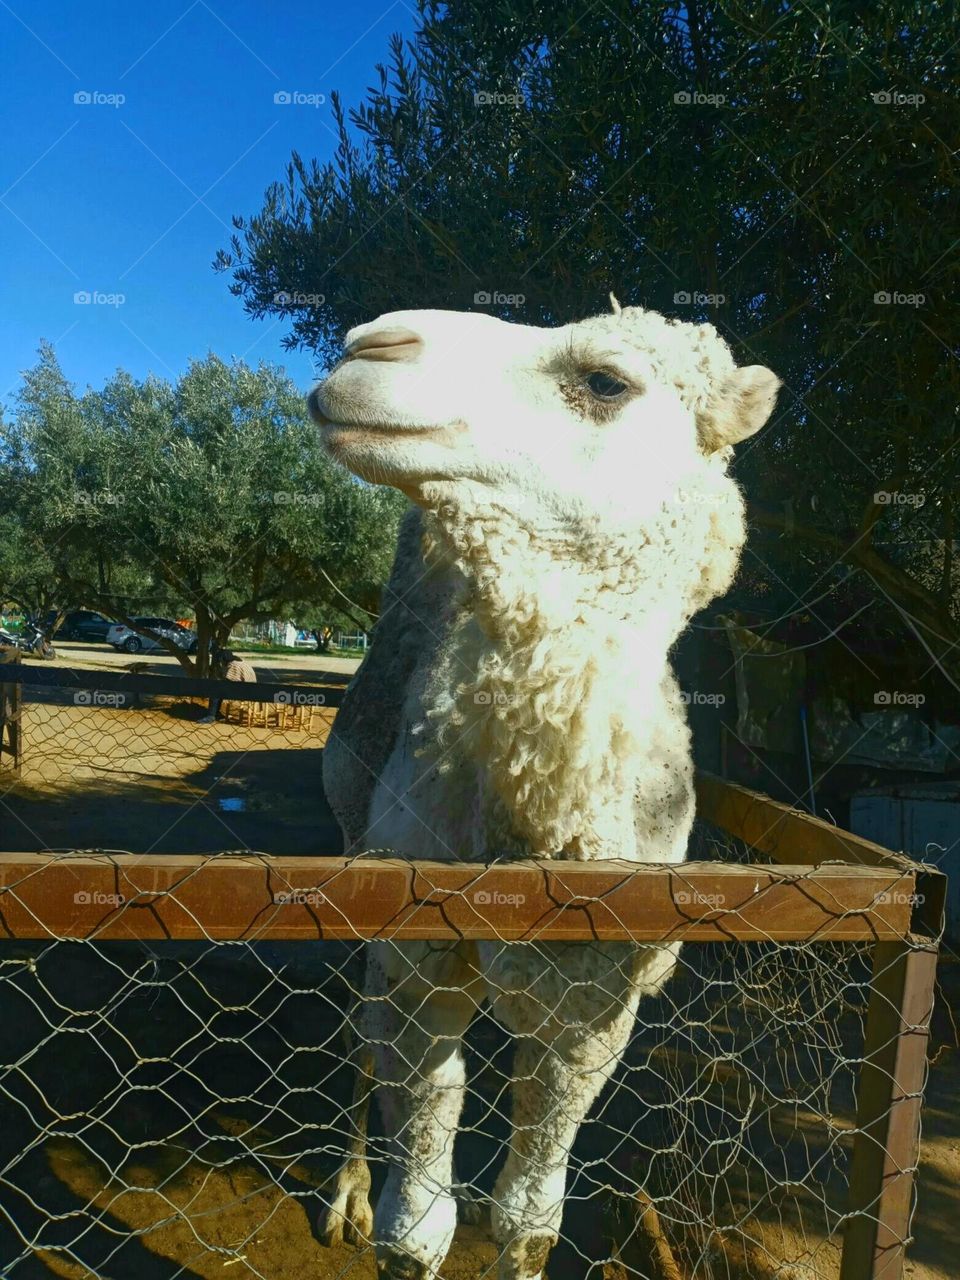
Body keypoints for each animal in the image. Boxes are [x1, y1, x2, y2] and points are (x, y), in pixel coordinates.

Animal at [307, 298, 779, 1280]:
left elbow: (529, 1220)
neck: (537, 833)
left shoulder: (603, 997)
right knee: (354, 1030)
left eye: (605, 380)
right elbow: (417, 1228)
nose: (368, 346)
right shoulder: (416, 948)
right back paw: (346, 1194)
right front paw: (382, 1212)